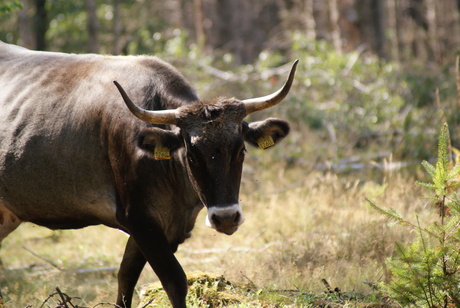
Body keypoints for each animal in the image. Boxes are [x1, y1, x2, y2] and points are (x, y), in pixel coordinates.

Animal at [0, 41, 298, 308]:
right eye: (191, 154)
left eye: (240, 151)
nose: (225, 217)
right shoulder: (138, 218)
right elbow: (174, 281)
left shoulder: (167, 227)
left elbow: (125, 278)